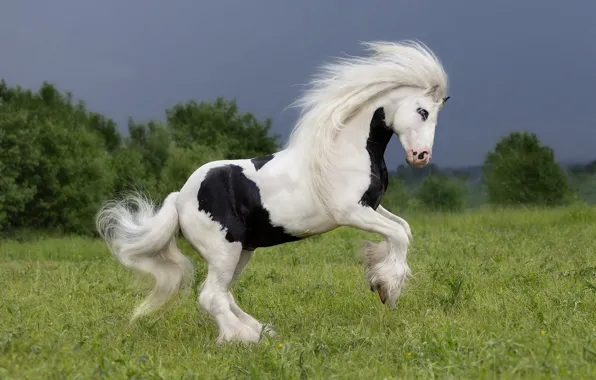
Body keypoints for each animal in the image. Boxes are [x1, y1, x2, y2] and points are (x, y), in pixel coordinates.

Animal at [95, 39, 450, 344]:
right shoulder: (351, 212)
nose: (421, 156)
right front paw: (388, 287)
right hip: (225, 250)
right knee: (210, 296)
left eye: (436, 115)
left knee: (223, 293)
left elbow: (403, 228)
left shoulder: (372, 208)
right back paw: (246, 339)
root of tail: (180, 199)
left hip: (241, 252)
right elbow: (399, 235)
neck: (342, 151)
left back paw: (262, 330)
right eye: (422, 112)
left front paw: (377, 275)